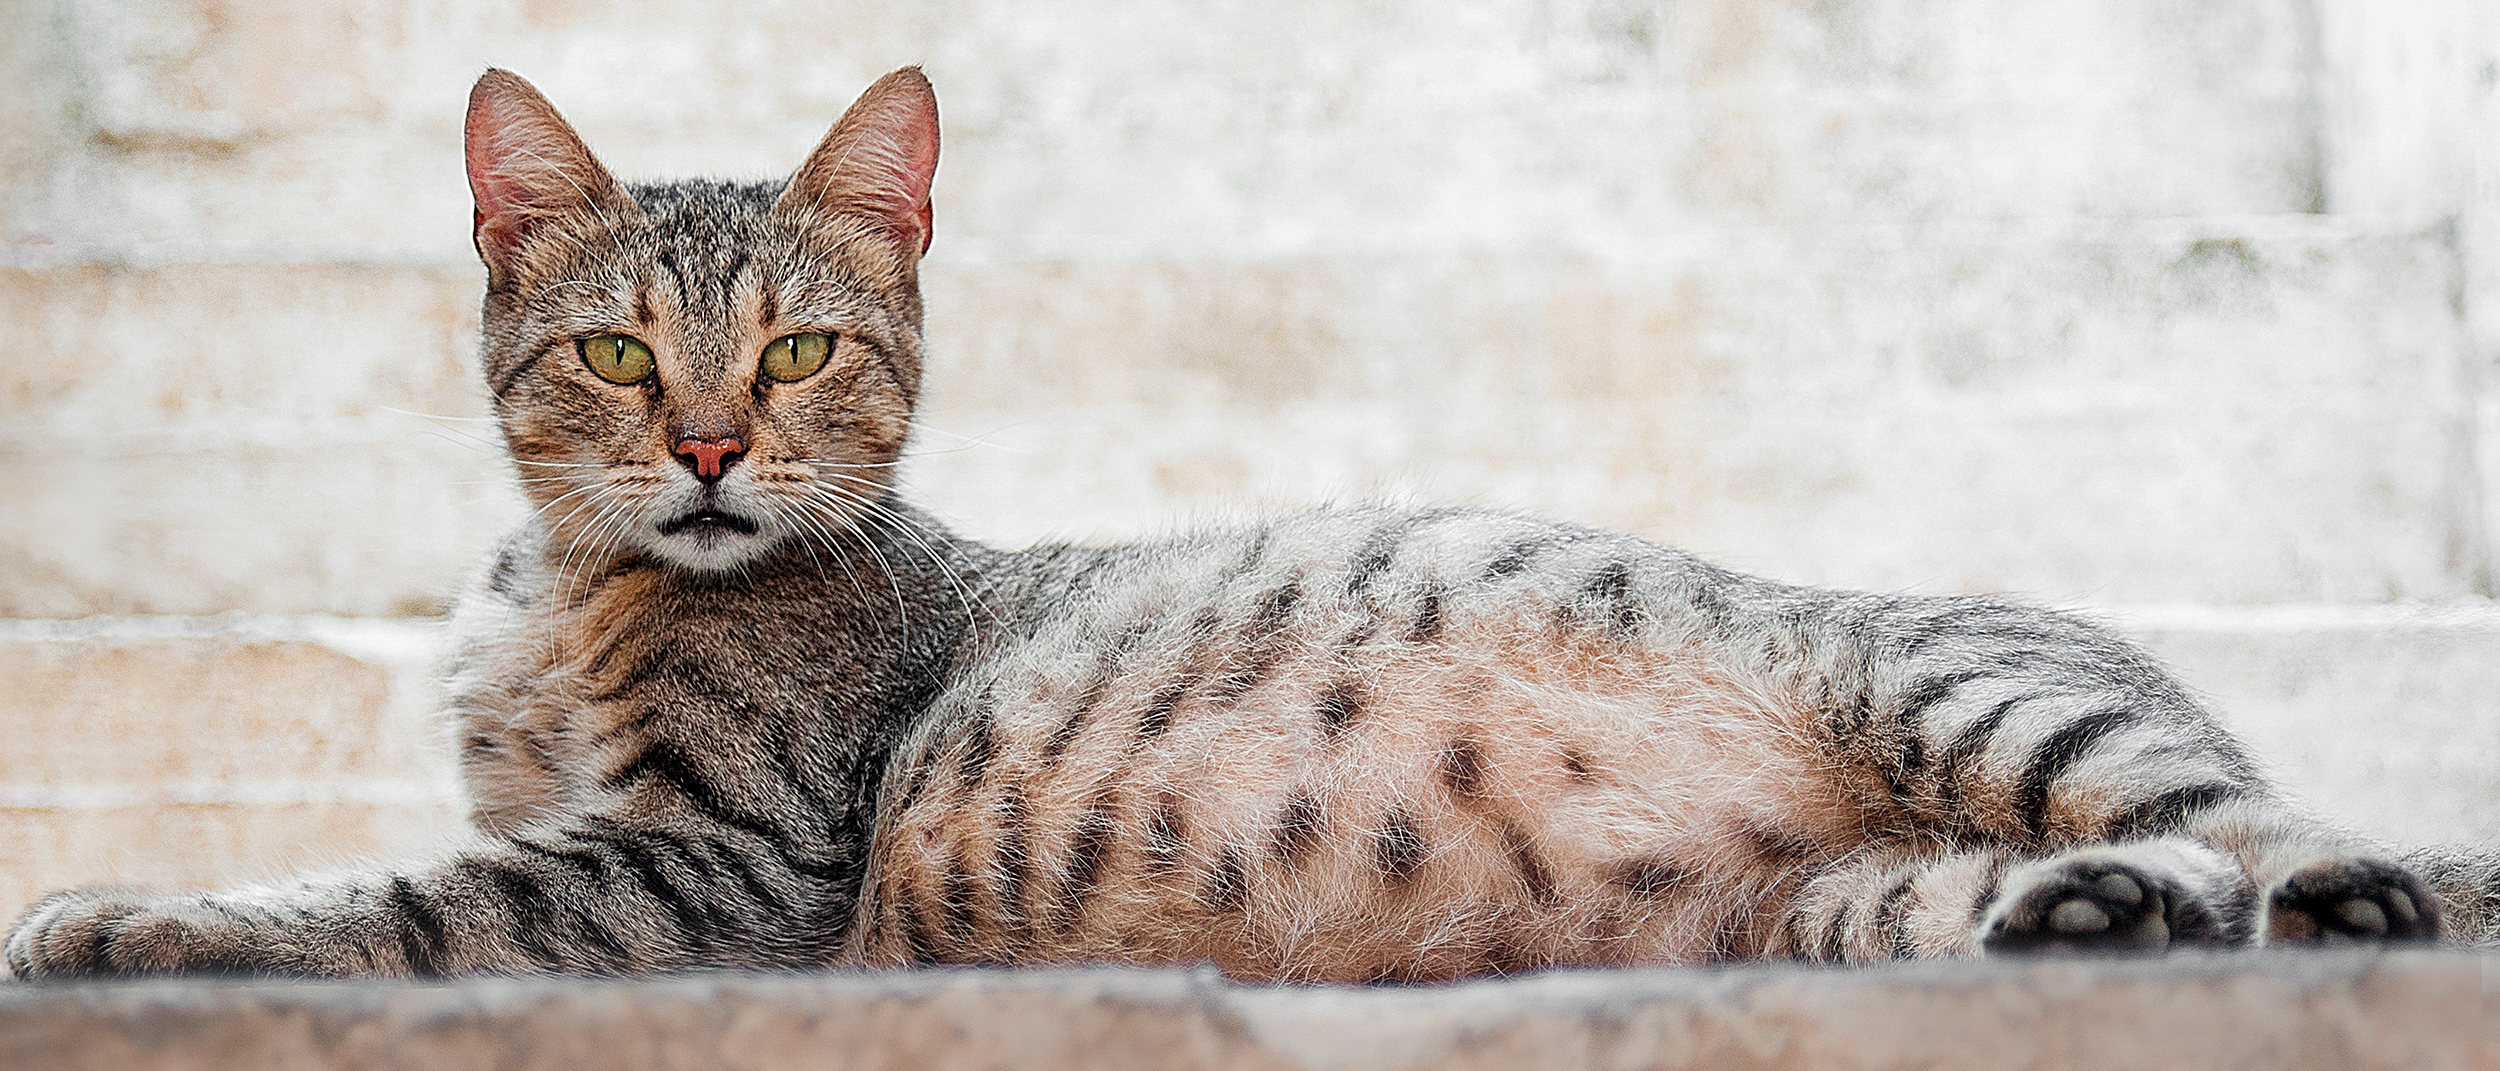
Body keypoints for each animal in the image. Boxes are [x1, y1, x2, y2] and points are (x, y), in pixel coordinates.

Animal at [0, 71, 2460, 980]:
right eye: (617, 353)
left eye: (794, 353)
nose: (701, 450)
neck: (557, 596)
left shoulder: (722, 856)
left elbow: (394, 895)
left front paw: (118, 915)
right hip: (1840, 899)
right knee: (2040, 890)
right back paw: (2098, 919)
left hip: (1979, 693)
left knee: (2343, 838)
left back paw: (2340, 891)